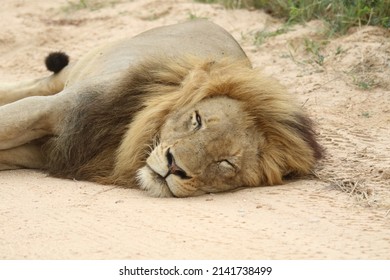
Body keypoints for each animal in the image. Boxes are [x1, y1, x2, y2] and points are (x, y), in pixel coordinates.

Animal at [0, 20, 322, 197]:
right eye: (197, 120)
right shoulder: (58, 109)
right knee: (39, 83)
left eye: (226, 163)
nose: (174, 167)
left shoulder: (48, 152)